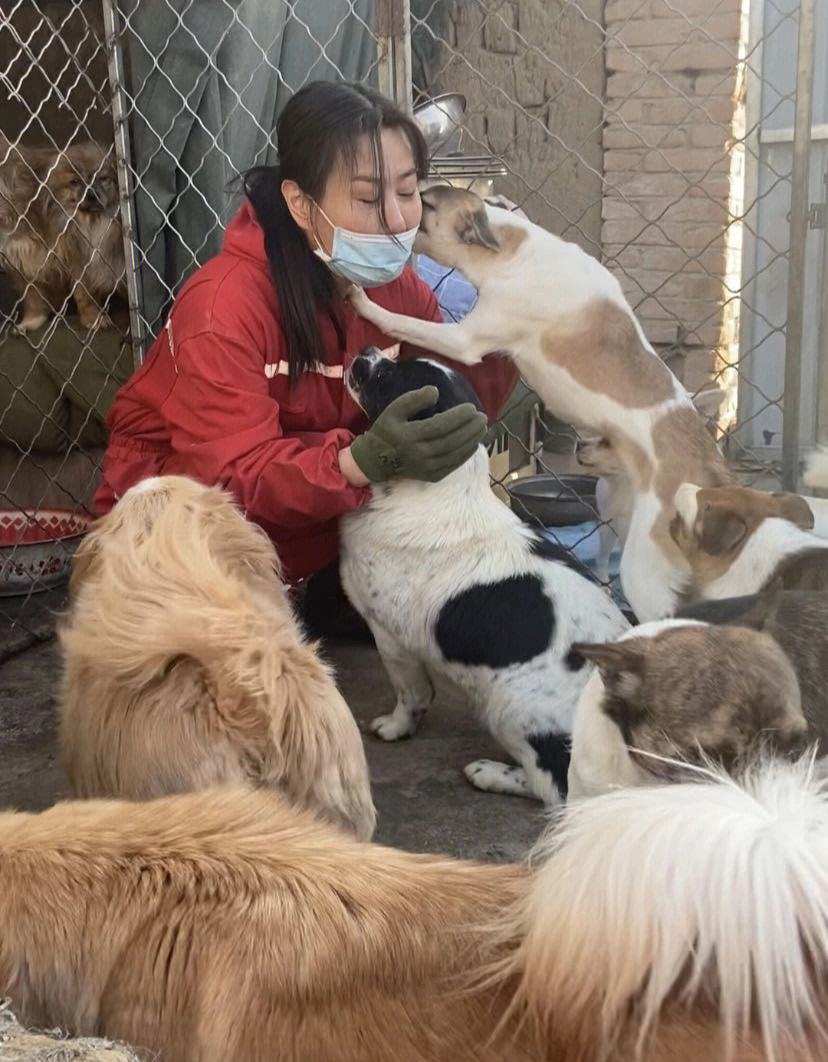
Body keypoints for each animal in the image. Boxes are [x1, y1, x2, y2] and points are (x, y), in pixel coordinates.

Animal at [350, 185, 730, 620]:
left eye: (423, 205)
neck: (513, 249)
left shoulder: (463, 340)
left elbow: (399, 320)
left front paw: (363, 302)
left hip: (644, 570)